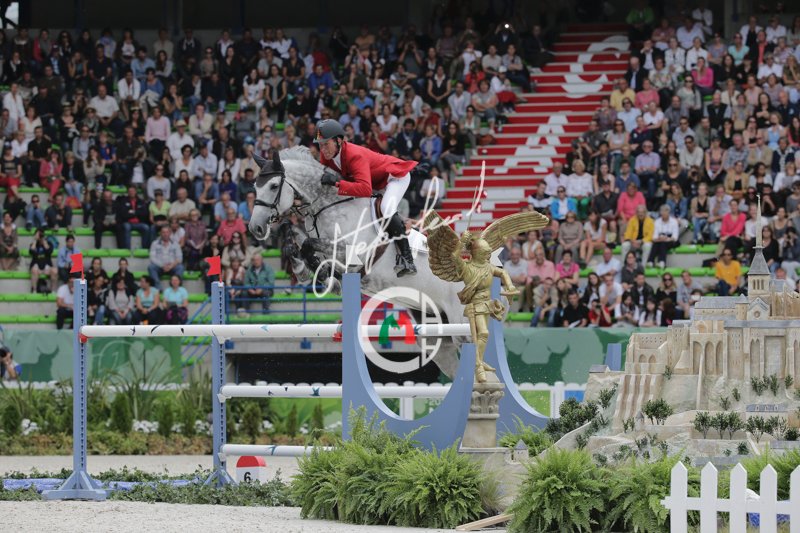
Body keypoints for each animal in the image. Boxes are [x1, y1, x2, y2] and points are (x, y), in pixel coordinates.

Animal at [248, 147, 467, 379]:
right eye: (255, 187)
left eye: (273, 186)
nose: (256, 228)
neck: (326, 207)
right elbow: (297, 242)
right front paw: (314, 274)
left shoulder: (354, 257)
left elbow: (309, 245)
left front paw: (326, 278)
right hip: (436, 338)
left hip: (462, 329)